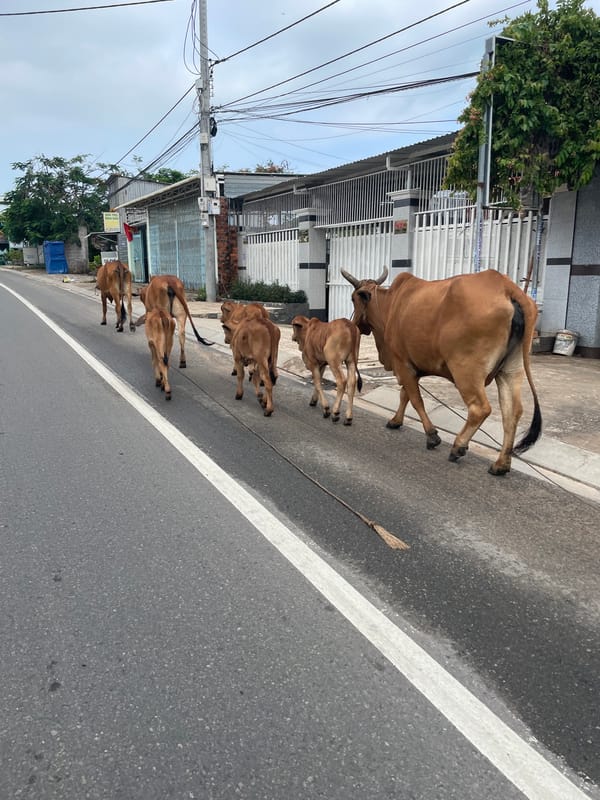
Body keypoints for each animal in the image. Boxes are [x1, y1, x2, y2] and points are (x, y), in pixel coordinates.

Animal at [341, 266, 542, 475]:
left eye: (353, 298)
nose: (355, 324)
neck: (390, 304)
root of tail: (506, 288)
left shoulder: (402, 364)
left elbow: (415, 400)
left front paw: (432, 435)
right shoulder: (411, 368)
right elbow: (405, 395)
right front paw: (396, 421)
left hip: (466, 371)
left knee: (480, 409)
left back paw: (458, 446)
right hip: (510, 370)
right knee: (512, 412)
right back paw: (501, 464)